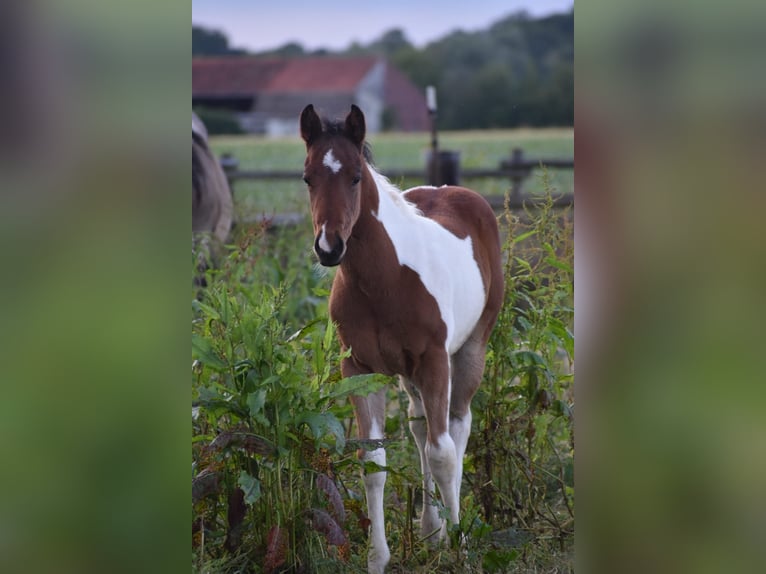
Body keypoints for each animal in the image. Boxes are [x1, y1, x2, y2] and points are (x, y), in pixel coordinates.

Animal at [300, 104, 504, 573]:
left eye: (356, 176)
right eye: (307, 178)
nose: (329, 247)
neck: (386, 281)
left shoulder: (434, 360)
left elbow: (443, 454)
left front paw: (460, 548)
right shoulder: (359, 369)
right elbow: (373, 461)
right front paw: (378, 558)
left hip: (470, 349)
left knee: (455, 427)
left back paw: (449, 528)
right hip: (409, 374)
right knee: (419, 425)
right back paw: (430, 528)